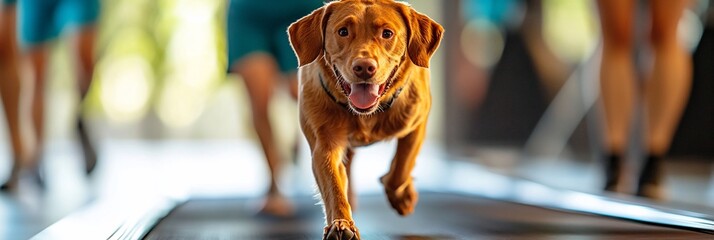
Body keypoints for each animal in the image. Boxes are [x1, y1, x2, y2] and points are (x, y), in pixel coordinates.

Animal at [288, 0, 442, 238]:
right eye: (343, 31)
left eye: (387, 33)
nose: (364, 67)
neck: (366, 114)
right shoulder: (324, 145)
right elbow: (333, 184)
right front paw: (341, 223)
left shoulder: (417, 124)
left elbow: (402, 166)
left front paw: (401, 195)